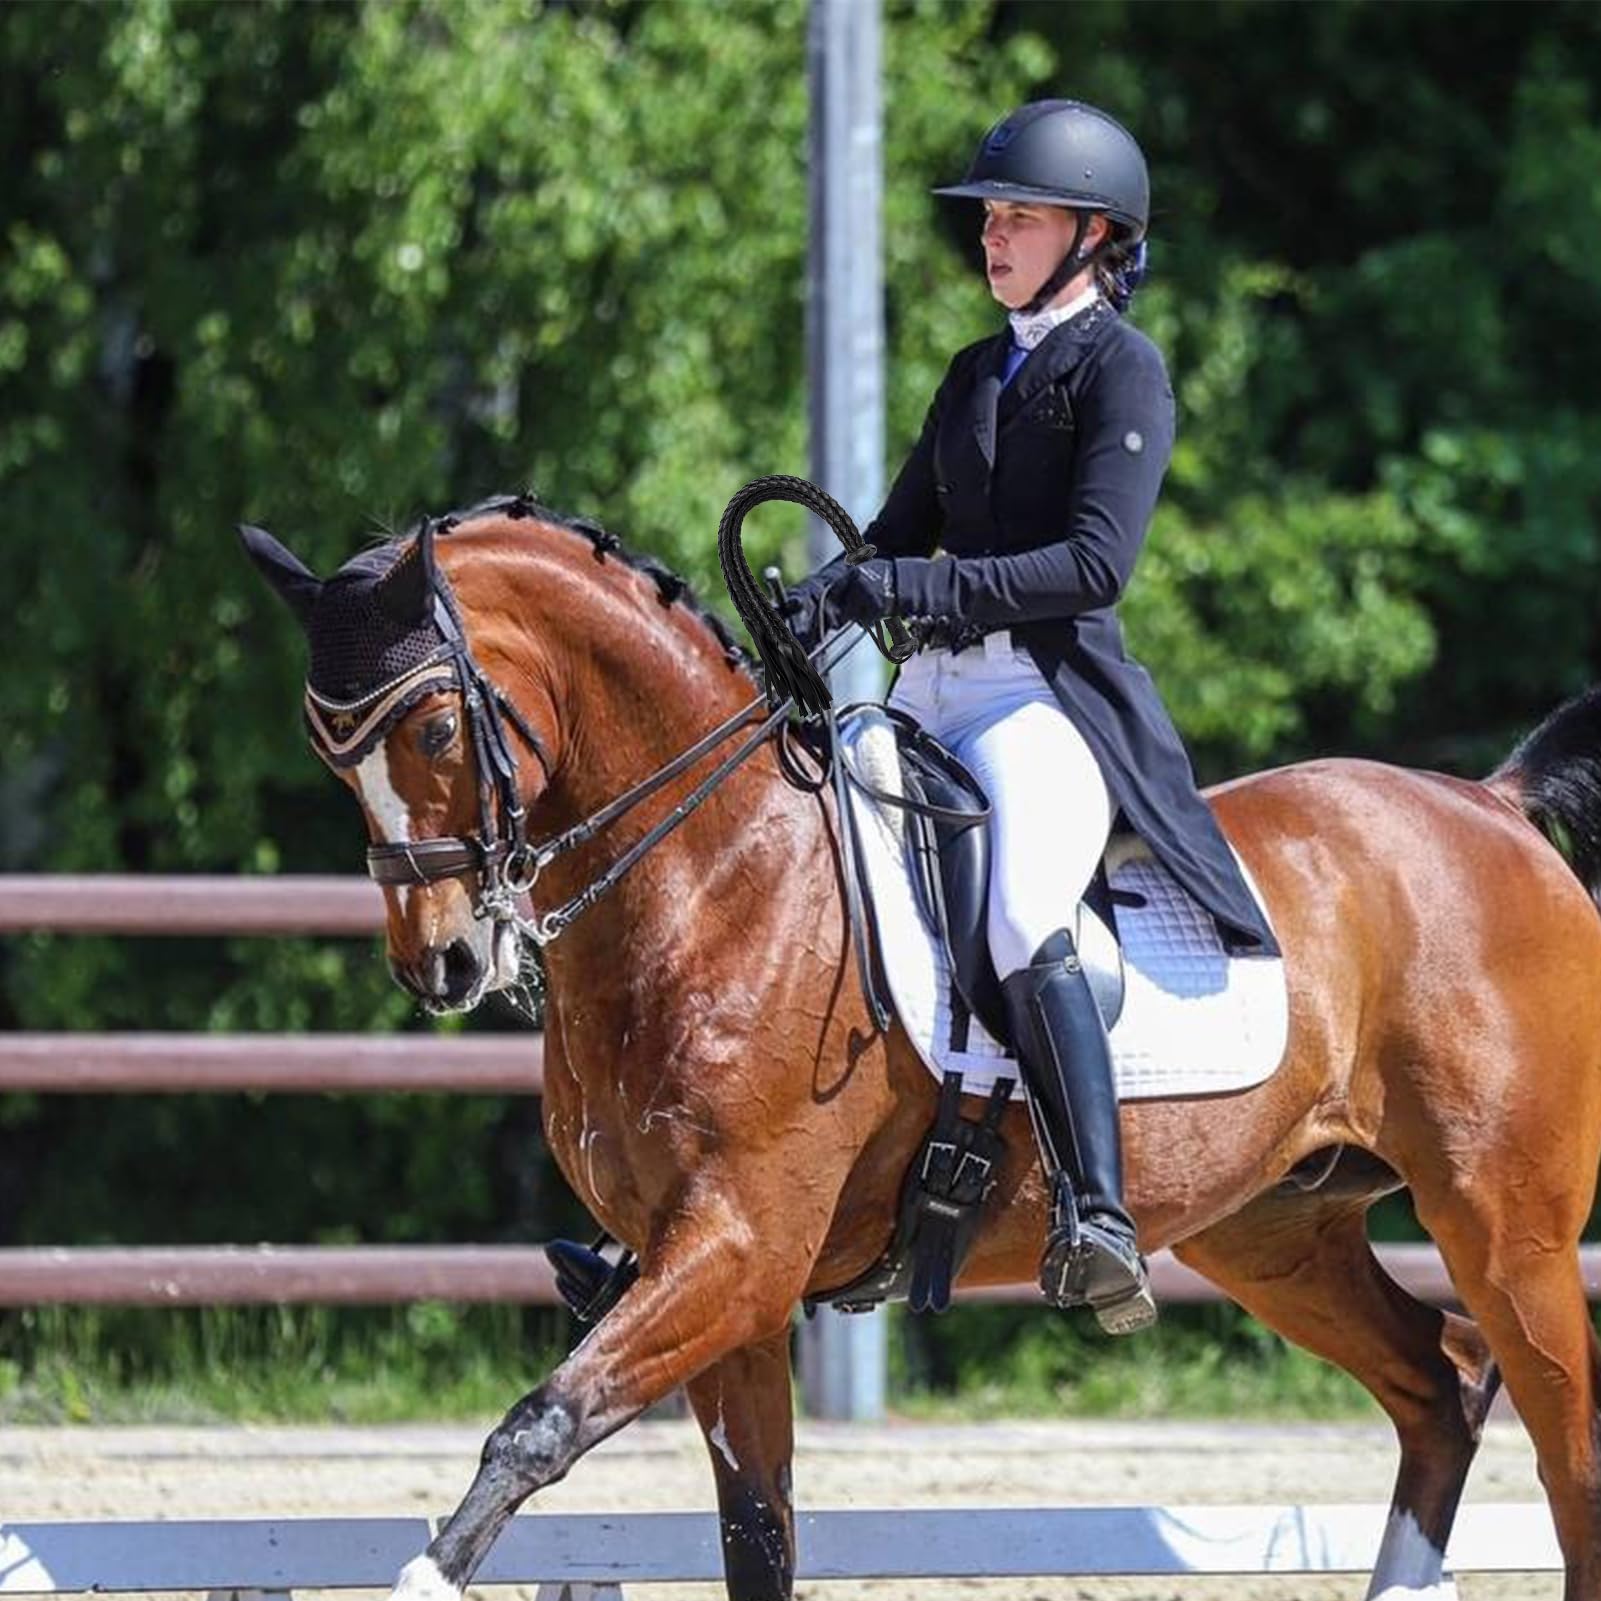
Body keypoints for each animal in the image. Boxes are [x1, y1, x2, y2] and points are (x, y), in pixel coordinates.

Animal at [241, 493, 1601, 1601]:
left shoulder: (735, 1249)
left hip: (1503, 1224)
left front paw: (426, 1571)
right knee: (1440, 1381)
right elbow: (757, 1535)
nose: (443, 962)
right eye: (322, 746)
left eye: (430, 729)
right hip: (1277, 1229)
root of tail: (1485, 803)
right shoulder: (730, 1288)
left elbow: (543, 1420)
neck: (717, 877)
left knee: (1563, 1444)